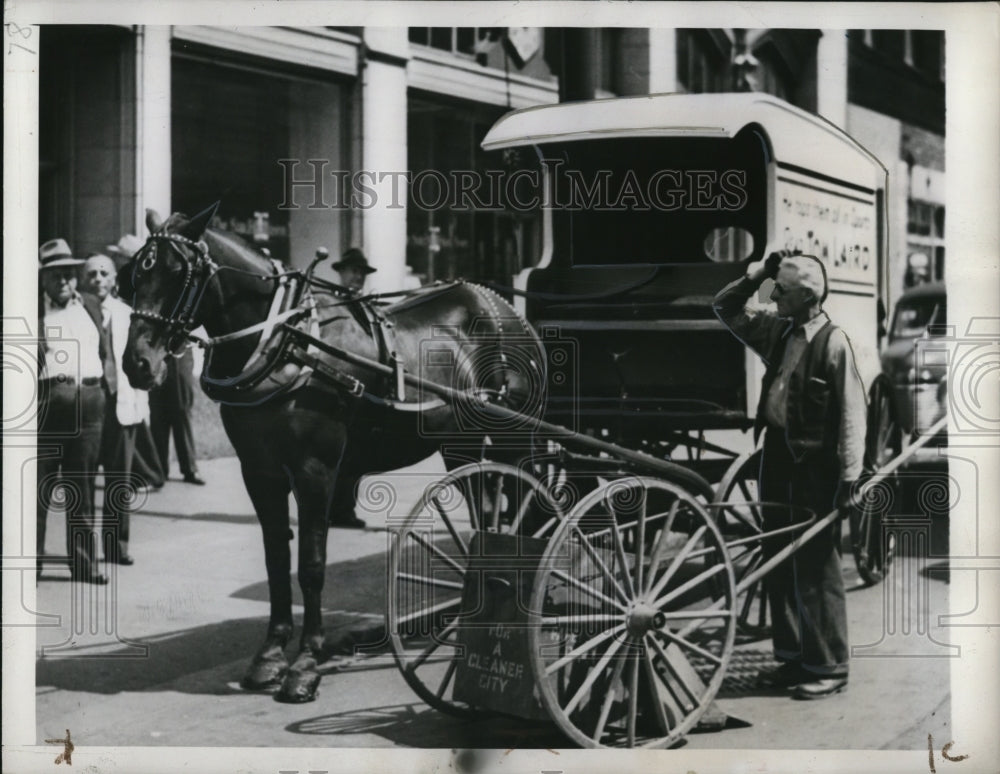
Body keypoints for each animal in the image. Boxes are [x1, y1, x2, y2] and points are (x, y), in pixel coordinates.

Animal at [125, 205, 552, 704]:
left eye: (179, 272)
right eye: (136, 274)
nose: (137, 363)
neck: (288, 341)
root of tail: (505, 308)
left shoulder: (316, 470)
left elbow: (311, 565)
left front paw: (306, 664)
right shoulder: (260, 471)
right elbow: (276, 558)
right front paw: (270, 656)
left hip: (515, 438)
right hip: (461, 446)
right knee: (491, 514)